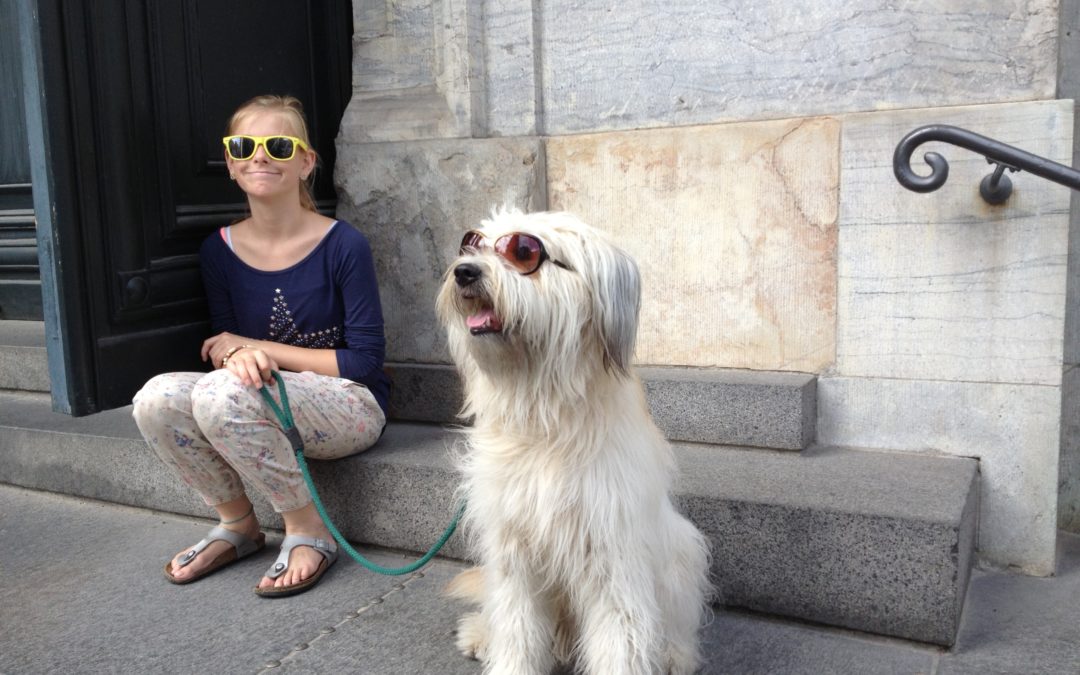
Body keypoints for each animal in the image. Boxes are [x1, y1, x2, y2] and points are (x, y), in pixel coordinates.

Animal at [434, 206, 712, 673]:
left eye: (524, 251)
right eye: (471, 244)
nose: (464, 272)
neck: (541, 418)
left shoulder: (612, 555)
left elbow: (621, 639)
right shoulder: (513, 553)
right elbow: (517, 628)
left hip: (681, 554)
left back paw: (673, 655)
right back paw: (482, 635)